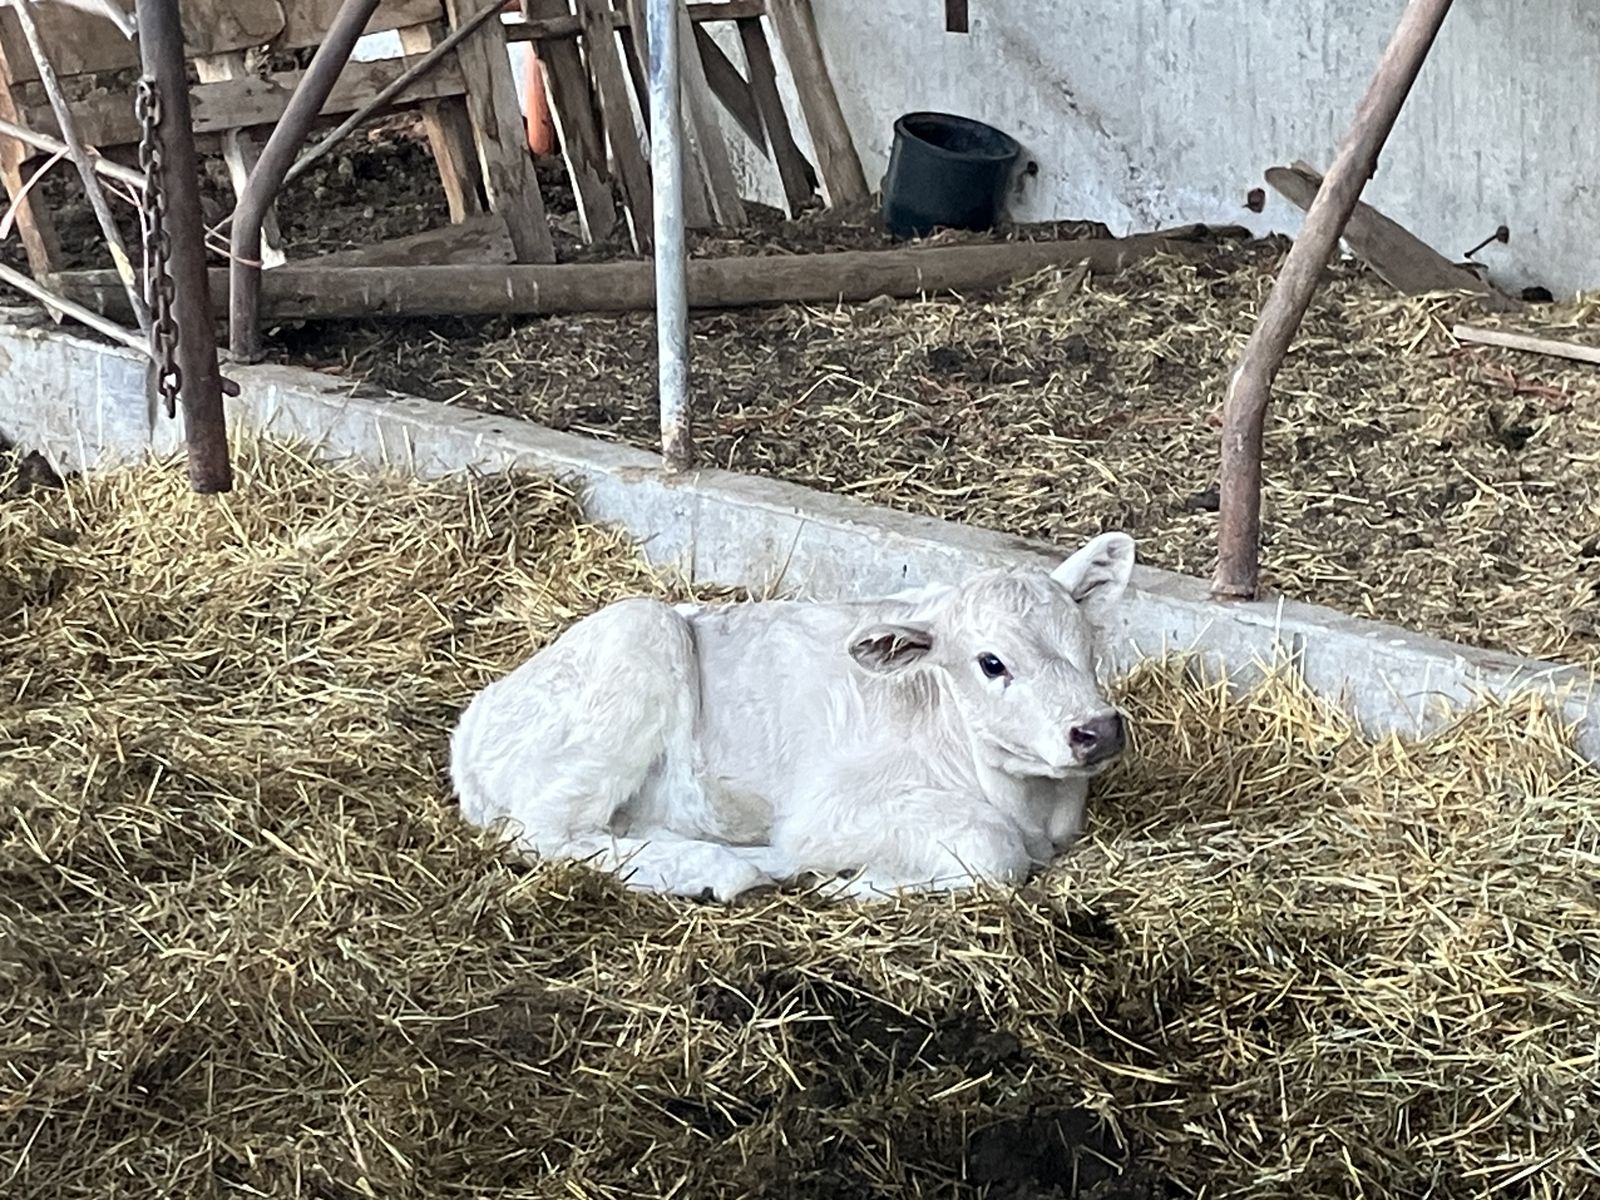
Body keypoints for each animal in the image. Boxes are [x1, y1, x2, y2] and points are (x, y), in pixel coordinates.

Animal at [449, 531, 1136, 902]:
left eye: (1086, 641)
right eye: (991, 663)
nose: (1097, 730)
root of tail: (475, 720)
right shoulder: (827, 811)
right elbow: (993, 851)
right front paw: (852, 882)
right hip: (638, 637)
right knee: (546, 834)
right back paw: (724, 869)